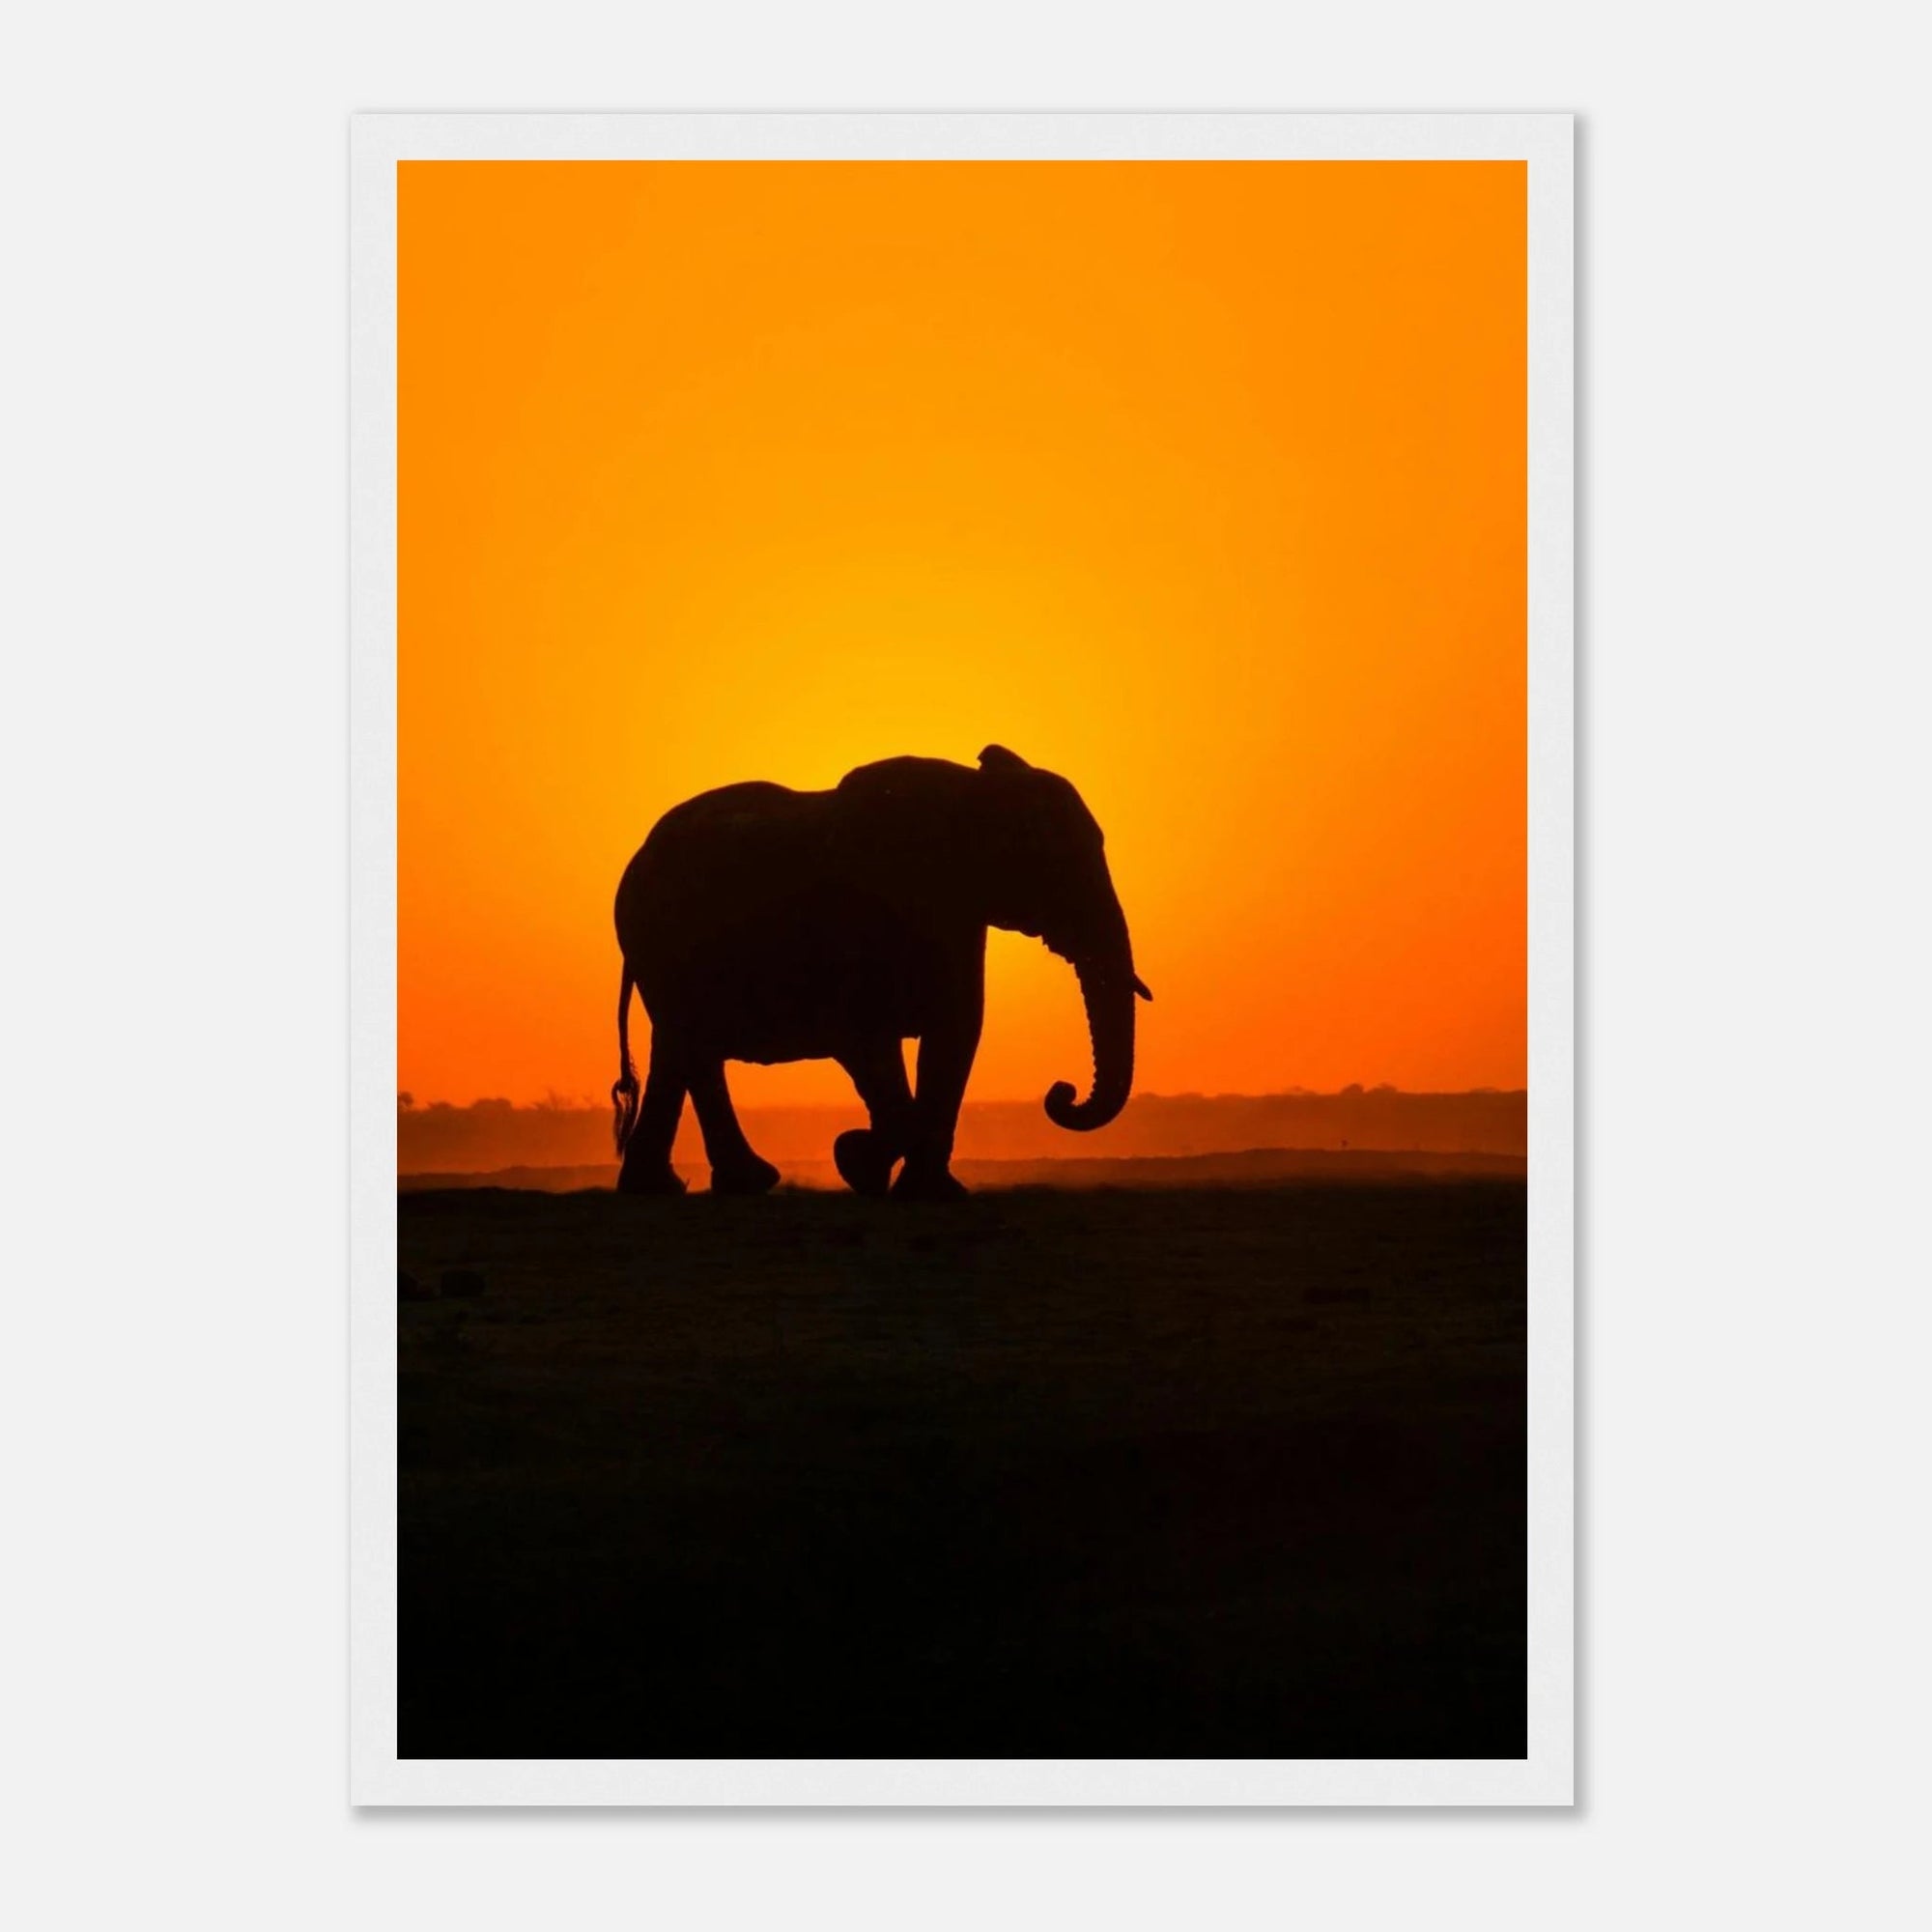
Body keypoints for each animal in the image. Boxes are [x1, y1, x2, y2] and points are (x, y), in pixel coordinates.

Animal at [609, 745, 1150, 1200]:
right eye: (1056, 863)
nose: (1061, 1092)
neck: (972, 793)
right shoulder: (865, 915)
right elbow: (865, 1037)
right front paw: (857, 1161)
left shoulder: (958, 914)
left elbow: (956, 1033)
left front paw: (929, 1192)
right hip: (656, 940)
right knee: (691, 1047)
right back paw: (729, 1184)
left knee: (680, 1049)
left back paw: (681, 1187)